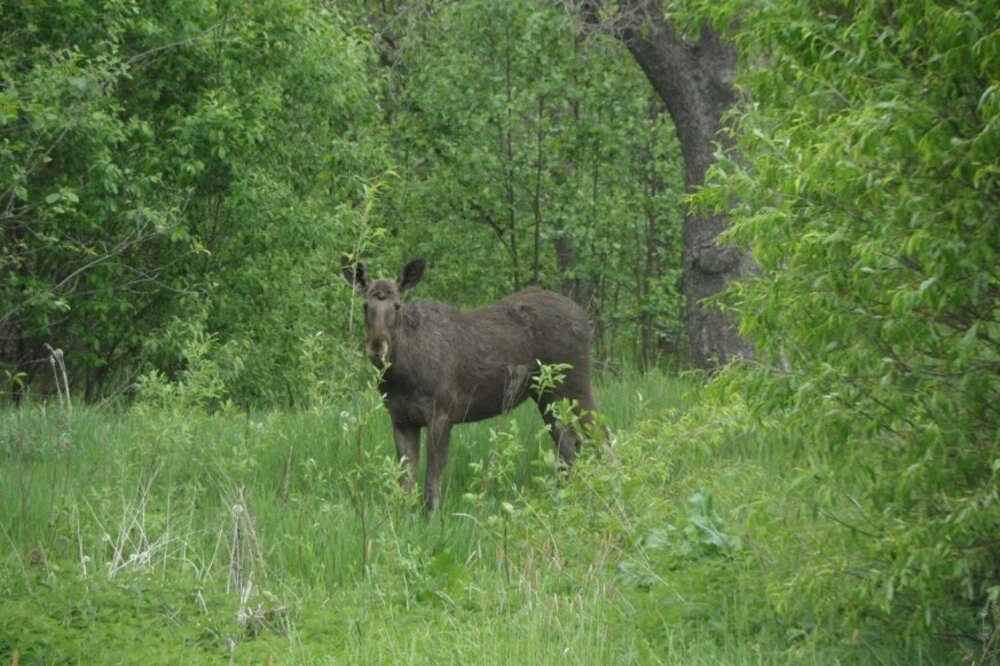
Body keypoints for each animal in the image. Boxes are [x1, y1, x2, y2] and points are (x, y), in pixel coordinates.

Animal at [342, 256, 600, 510]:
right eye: (365, 306)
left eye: (397, 306)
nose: (377, 348)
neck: (400, 376)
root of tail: (585, 317)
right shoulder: (401, 419)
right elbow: (405, 487)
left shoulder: (442, 415)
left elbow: (431, 487)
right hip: (546, 395)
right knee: (569, 445)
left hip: (575, 384)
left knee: (600, 436)